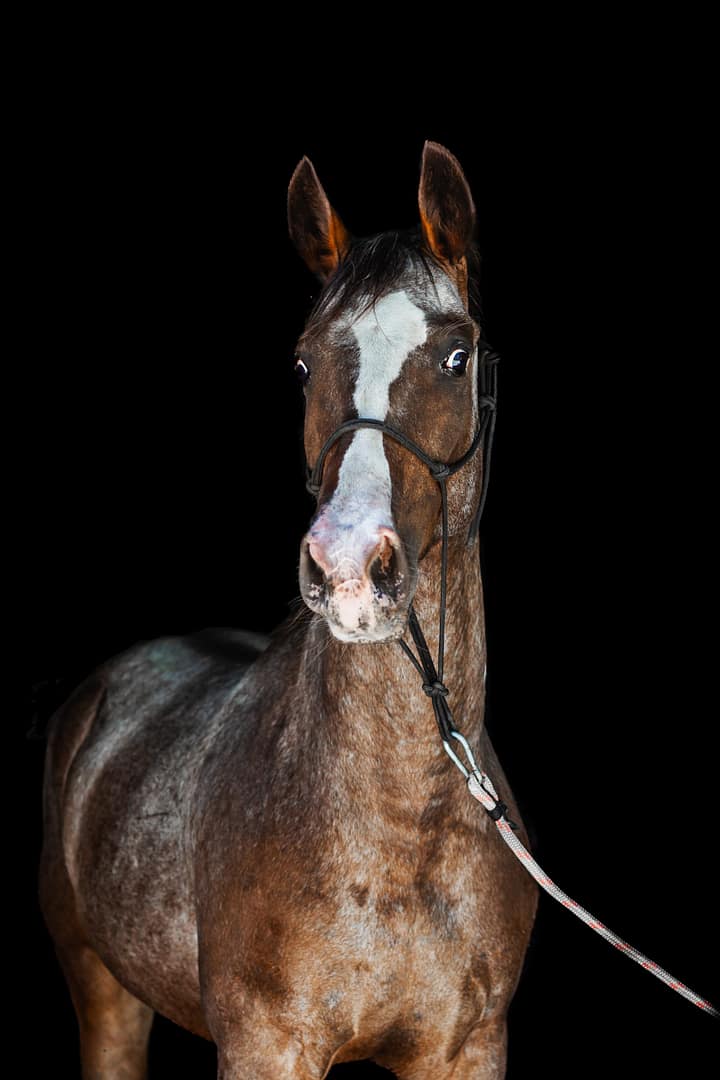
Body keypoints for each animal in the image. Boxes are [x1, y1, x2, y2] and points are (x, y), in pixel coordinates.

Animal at [39, 141, 538, 1079]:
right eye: (303, 363)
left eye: (456, 355)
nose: (347, 565)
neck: (399, 830)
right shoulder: (265, 1046)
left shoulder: (469, 1049)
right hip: (101, 989)